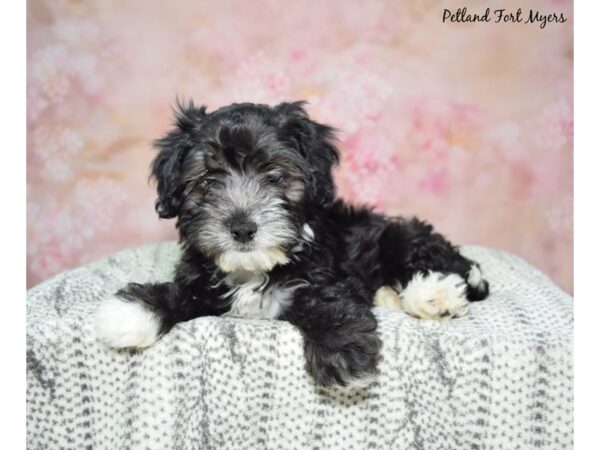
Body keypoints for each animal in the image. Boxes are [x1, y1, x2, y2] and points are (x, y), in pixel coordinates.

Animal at [94, 101, 488, 386]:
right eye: (207, 179)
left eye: (275, 175)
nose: (242, 228)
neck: (253, 270)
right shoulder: (204, 282)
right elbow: (183, 293)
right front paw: (134, 310)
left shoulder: (325, 276)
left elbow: (325, 302)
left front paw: (342, 350)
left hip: (398, 237)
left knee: (444, 263)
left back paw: (434, 294)